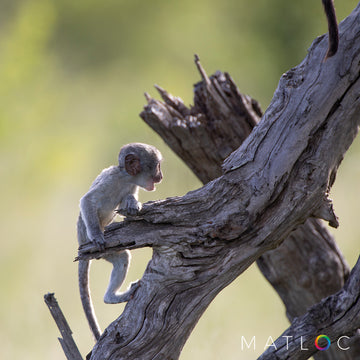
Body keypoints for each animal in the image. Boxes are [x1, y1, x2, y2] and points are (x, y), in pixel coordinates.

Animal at [78, 143, 164, 340]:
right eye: (157, 166)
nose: (161, 176)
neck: (125, 177)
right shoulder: (110, 179)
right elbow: (87, 200)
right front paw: (97, 235)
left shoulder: (131, 186)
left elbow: (127, 201)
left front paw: (133, 203)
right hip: (92, 243)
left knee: (122, 257)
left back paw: (111, 297)